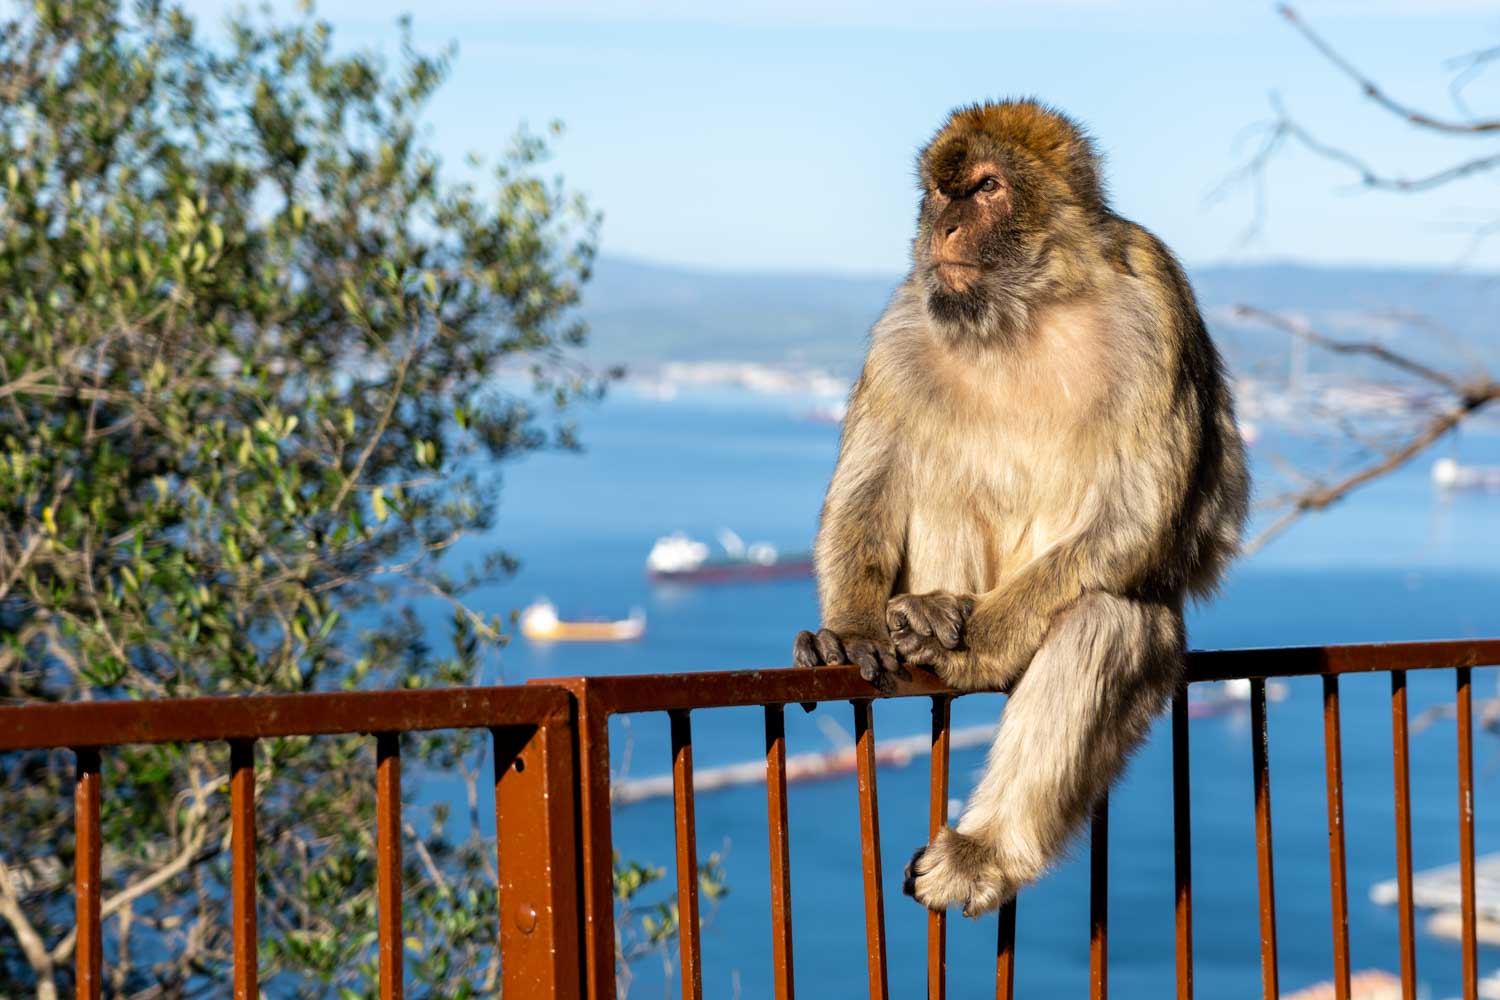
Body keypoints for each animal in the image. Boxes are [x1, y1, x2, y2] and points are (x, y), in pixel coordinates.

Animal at [792, 99, 1249, 917]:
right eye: (940, 193)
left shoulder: (1154, 297)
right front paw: (851, 628)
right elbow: (871, 485)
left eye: (986, 187)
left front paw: (977, 642)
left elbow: (1141, 514)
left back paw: (983, 852)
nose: (943, 227)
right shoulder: (905, 325)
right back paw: (926, 607)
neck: (1023, 310)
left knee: (1108, 617)